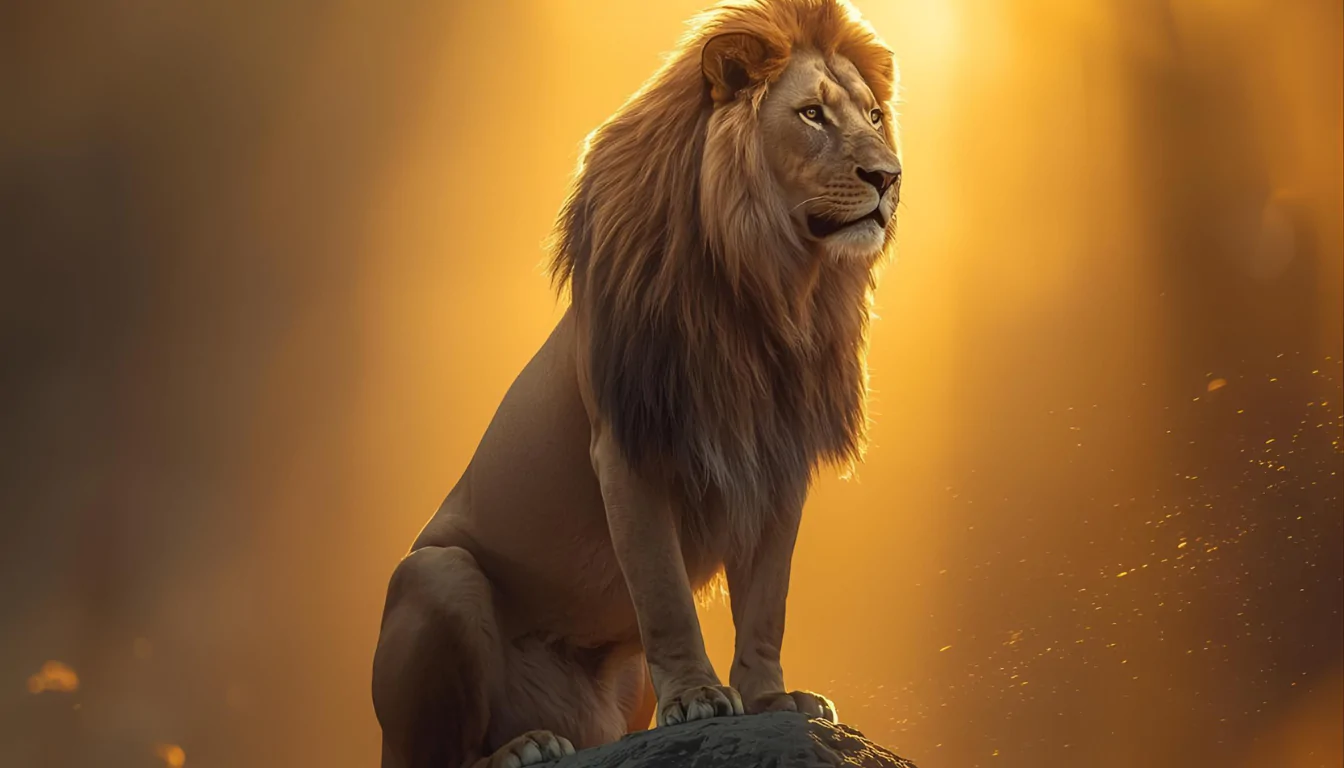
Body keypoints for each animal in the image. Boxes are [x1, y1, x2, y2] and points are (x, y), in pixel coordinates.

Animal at [371, 1, 901, 766]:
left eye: (875, 116)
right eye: (811, 115)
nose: (889, 178)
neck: (766, 294)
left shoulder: (779, 461)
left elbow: (766, 602)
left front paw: (772, 699)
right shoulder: (630, 447)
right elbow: (664, 593)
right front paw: (698, 698)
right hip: (436, 575)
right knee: (432, 755)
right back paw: (525, 746)